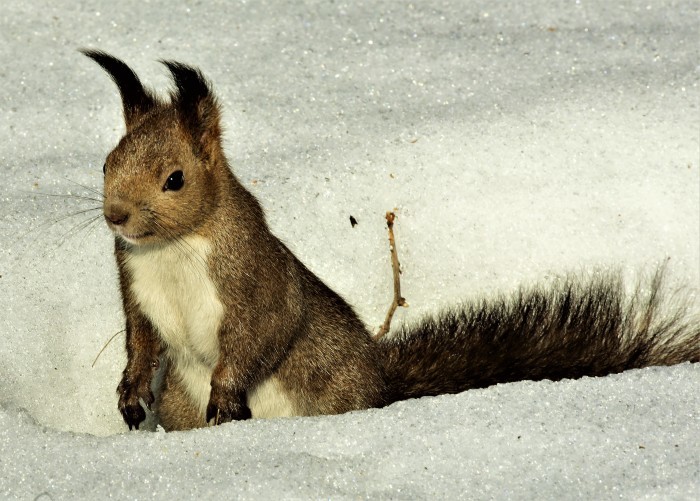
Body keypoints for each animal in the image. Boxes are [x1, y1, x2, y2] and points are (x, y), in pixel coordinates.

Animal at [80, 50, 700, 430]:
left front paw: (227, 393)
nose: (116, 216)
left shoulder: (251, 277)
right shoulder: (134, 285)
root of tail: (380, 388)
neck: (172, 248)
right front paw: (130, 394)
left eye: (175, 179)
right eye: (108, 162)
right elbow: (141, 342)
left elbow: (264, 332)